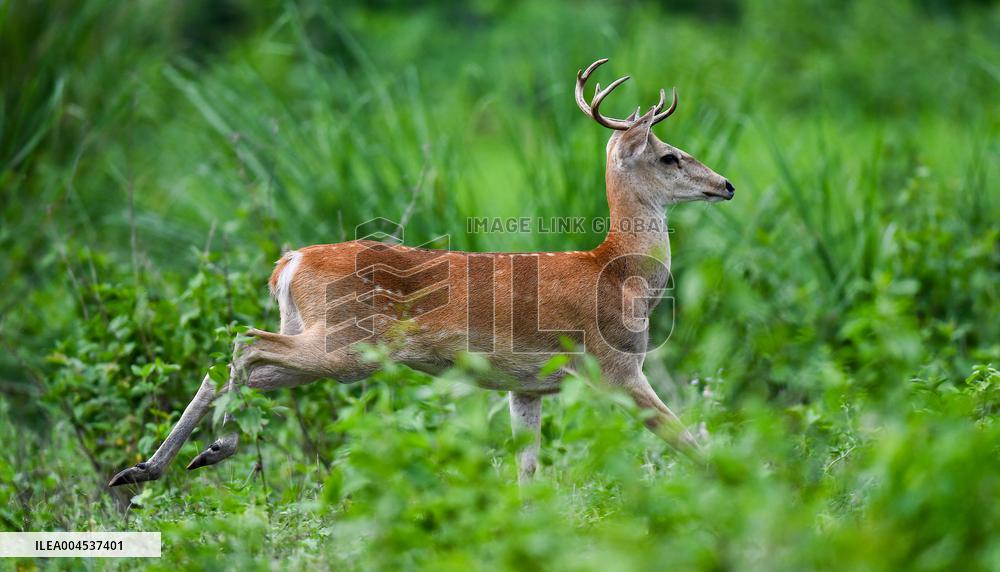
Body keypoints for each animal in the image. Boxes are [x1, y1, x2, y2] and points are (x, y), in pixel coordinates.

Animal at [109, 58, 734, 488]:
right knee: (242, 345)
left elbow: (528, 473)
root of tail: (290, 262)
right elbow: (689, 441)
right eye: (670, 155)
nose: (725, 184)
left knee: (242, 365)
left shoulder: (526, 387)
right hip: (346, 344)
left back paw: (154, 466)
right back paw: (202, 452)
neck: (616, 272)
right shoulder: (616, 367)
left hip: (316, 339)